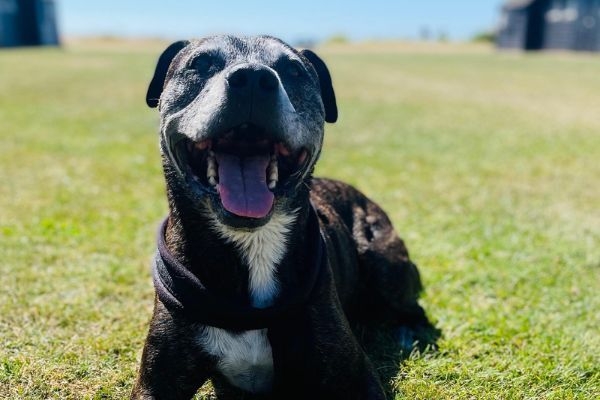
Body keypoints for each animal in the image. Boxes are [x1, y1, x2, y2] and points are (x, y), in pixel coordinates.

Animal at [132, 36, 432, 398]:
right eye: (201, 63)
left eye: (293, 70)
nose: (252, 78)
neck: (253, 244)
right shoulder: (155, 382)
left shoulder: (356, 377)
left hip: (381, 258)